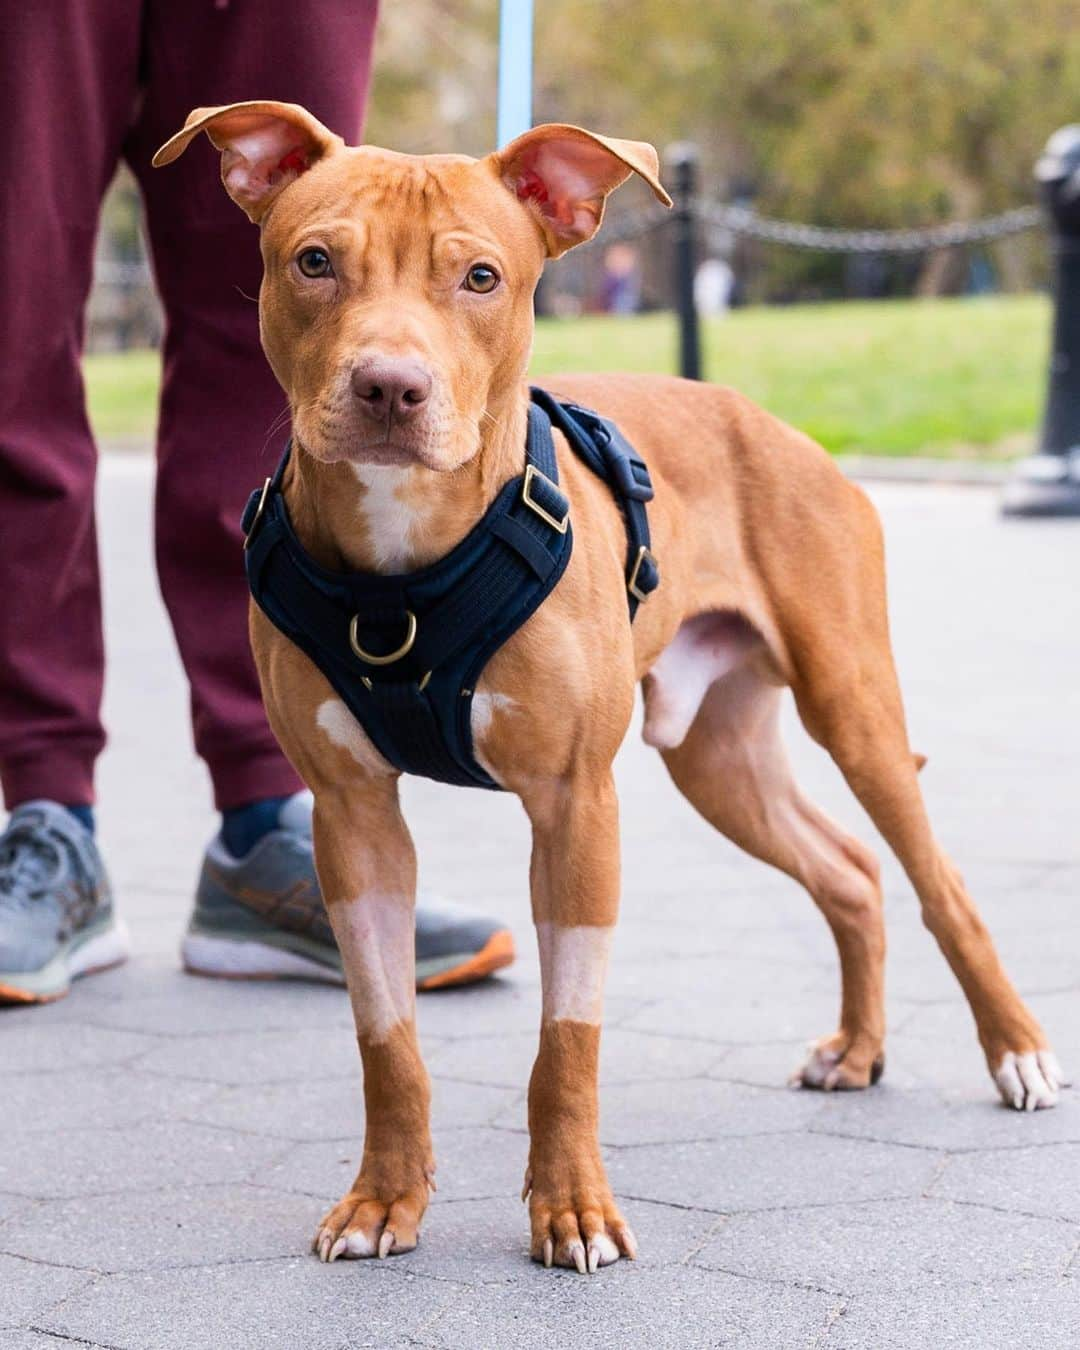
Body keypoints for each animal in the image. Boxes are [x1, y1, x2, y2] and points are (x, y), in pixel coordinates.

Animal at [155, 99, 1069, 1269]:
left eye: (482, 278)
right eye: (314, 262)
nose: (389, 387)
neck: (406, 565)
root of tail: (775, 424)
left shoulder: (576, 809)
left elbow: (568, 1039)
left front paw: (572, 1210)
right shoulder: (352, 819)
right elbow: (385, 1034)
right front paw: (383, 1200)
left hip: (853, 708)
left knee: (939, 884)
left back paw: (1018, 1054)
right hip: (719, 760)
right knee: (851, 875)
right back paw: (858, 1050)